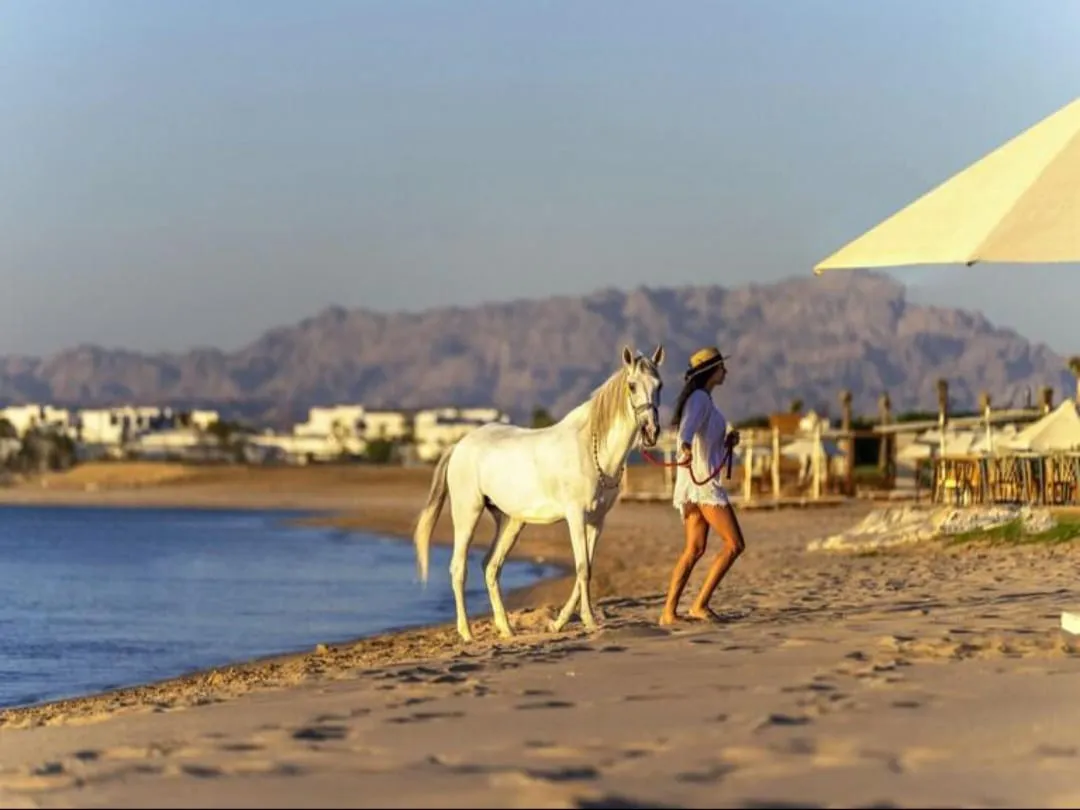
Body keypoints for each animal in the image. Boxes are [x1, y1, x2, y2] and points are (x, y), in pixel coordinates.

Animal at [413, 344, 665, 642]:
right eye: (632, 385)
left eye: (659, 385)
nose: (651, 431)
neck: (590, 449)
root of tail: (459, 445)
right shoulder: (576, 516)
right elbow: (582, 567)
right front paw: (589, 621)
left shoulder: (596, 521)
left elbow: (587, 568)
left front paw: (558, 624)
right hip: (467, 514)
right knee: (459, 567)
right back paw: (466, 633)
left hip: (510, 521)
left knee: (491, 565)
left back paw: (506, 629)